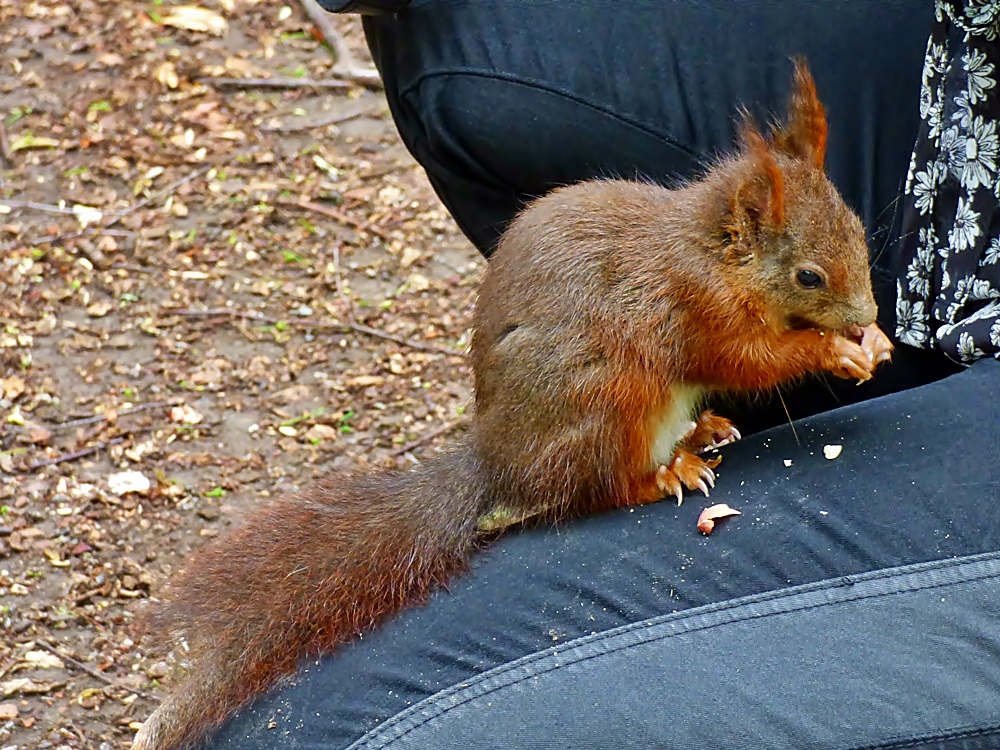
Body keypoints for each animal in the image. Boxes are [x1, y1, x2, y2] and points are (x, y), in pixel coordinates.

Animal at [131, 64, 892, 750]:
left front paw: (869, 343)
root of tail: (499, 461)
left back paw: (700, 432)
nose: (868, 315)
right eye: (808, 276)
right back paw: (663, 473)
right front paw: (833, 350)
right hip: (606, 402)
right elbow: (747, 360)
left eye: (858, 230)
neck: (713, 253)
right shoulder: (697, 307)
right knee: (602, 487)